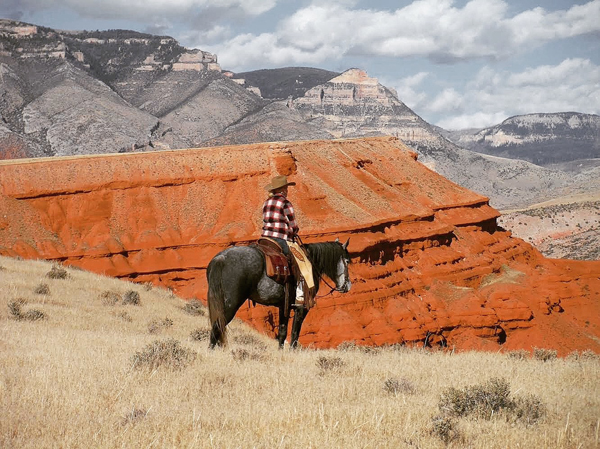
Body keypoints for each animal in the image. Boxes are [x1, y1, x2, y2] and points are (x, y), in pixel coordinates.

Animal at [207, 238, 352, 346]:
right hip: (231, 304)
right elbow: (295, 334)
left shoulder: (284, 306)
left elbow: (282, 333)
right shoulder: (301, 308)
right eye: (347, 261)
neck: (310, 264)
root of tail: (221, 258)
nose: (348, 285)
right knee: (217, 327)